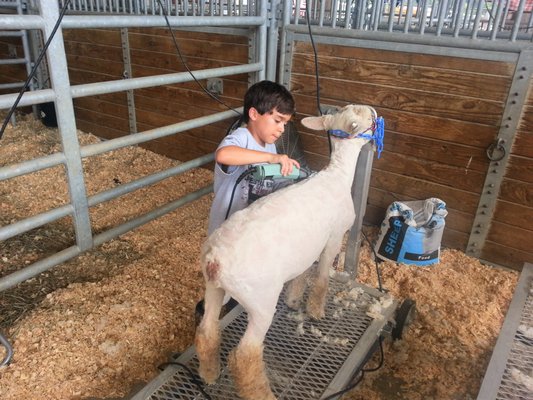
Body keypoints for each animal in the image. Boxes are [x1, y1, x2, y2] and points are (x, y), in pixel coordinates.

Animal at [193, 104, 376, 400]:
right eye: (364, 116)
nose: (374, 112)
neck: (337, 175)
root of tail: (215, 260)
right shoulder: (334, 237)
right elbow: (322, 277)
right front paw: (315, 310)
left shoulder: (308, 248)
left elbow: (303, 273)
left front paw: (293, 299)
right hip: (260, 300)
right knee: (245, 356)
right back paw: (261, 392)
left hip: (213, 288)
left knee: (207, 332)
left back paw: (209, 375)